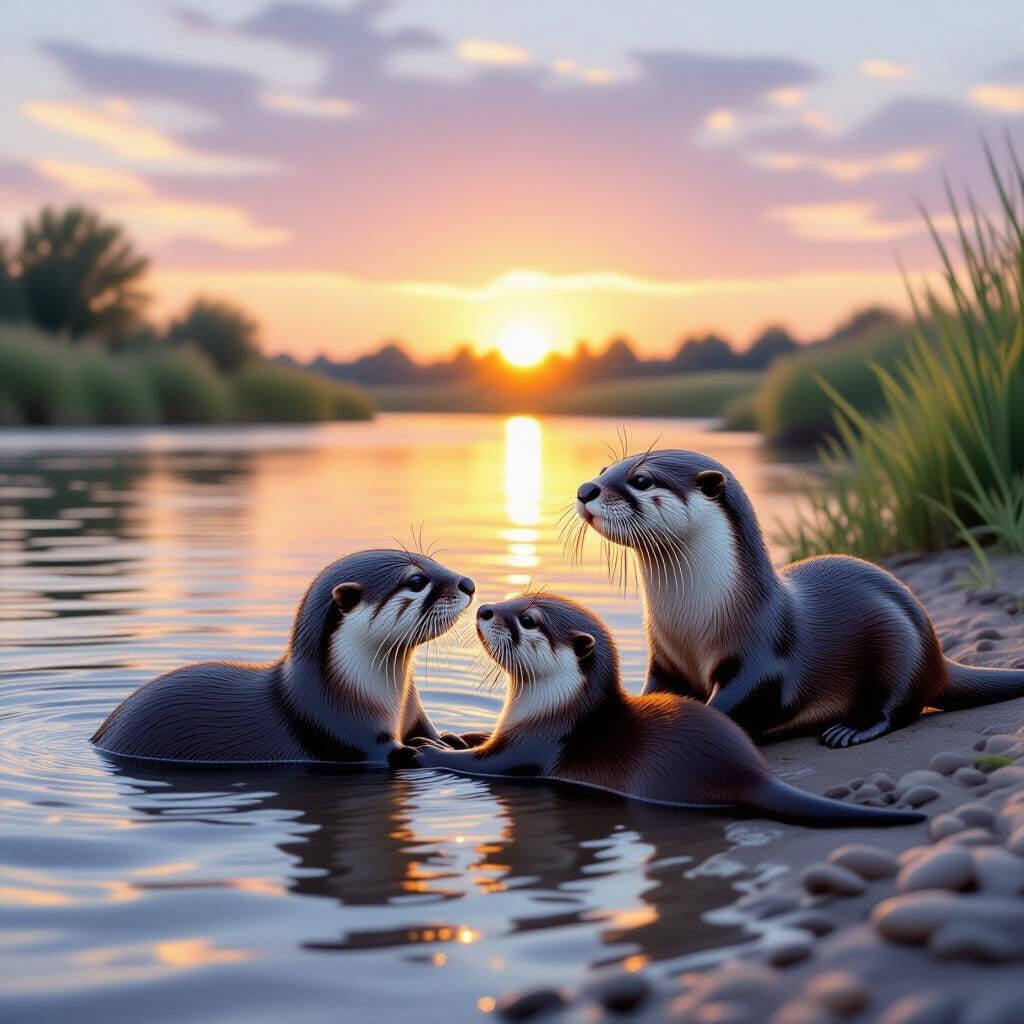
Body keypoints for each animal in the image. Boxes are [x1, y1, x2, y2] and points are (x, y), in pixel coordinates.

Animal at [92, 550, 476, 765]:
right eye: (416, 580)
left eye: (432, 559)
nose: (468, 583)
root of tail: (98, 737)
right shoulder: (343, 729)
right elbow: (397, 754)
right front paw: (429, 750)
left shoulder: (412, 710)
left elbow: (427, 728)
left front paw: (451, 739)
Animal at [409, 593, 924, 826]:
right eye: (515, 598)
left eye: (528, 619)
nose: (485, 609)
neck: (547, 707)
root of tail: (749, 772)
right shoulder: (510, 729)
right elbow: (481, 739)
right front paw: (454, 735)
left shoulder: (532, 747)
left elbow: (485, 763)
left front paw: (426, 749)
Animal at [574, 449, 1024, 747]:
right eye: (603, 468)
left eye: (642, 480)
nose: (585, 488)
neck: (695, 623)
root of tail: (937, 653)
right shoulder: (665, 660)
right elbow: (657, 689)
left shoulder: (762, 657)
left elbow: (741, 702)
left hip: (901, 645)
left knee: (899, 705)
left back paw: (851, 730)